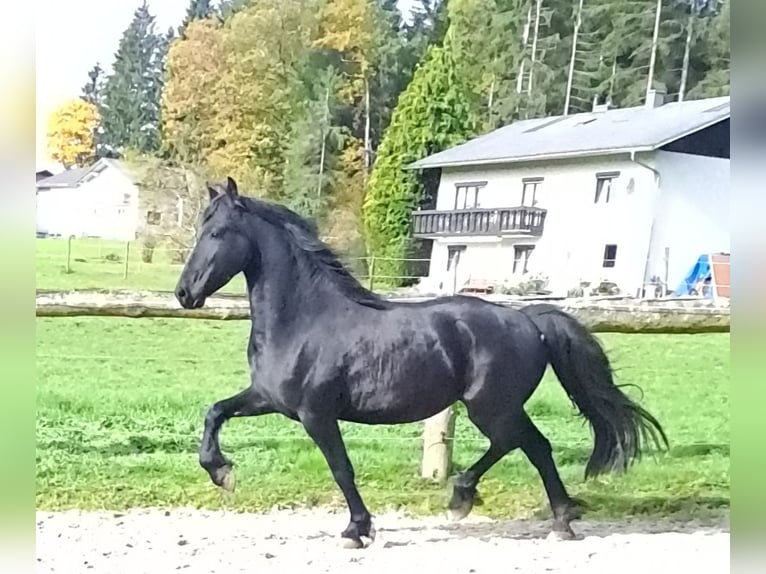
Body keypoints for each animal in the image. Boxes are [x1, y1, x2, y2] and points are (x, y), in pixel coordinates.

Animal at [174, 176, 669, 548]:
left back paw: (541, 515)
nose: (184, 294)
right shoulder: (269, 399)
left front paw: (357, 531)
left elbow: (341, 469)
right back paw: (483, 501)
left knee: (529, 445)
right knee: (523, 444)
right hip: (497, 407)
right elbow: (215, 412)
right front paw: (221, 472)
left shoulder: (317, 414)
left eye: (216, 233)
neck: (304, 318)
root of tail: (529, 320)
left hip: (491, 407)